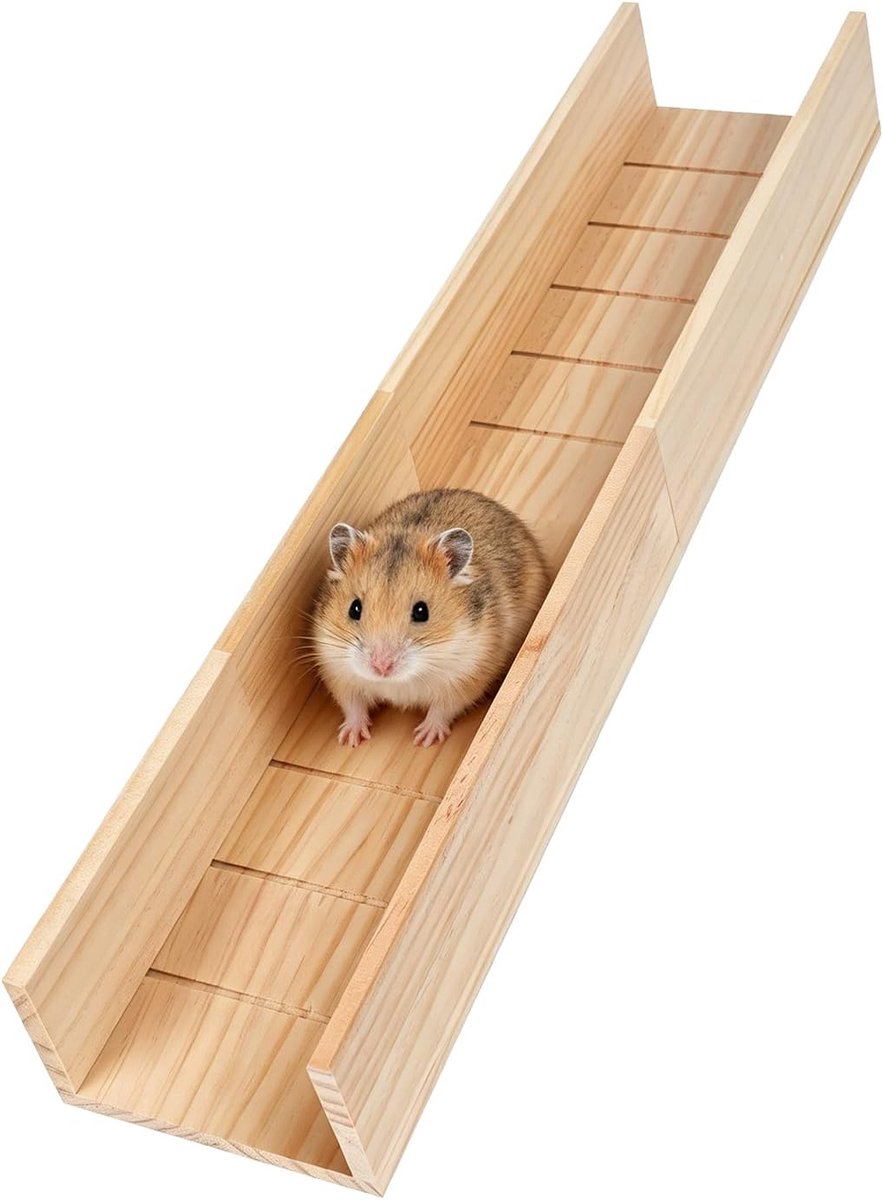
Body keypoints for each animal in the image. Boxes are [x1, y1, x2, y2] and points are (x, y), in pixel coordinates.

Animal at [312, 488, 550, 748]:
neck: (398, 681)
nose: (381, 667)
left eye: (421, 611)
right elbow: (353, 706)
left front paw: (423, 740)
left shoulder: (466, 677)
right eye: (354, 609)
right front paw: (350, 739)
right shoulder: (337, 670)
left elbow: (442, 710)